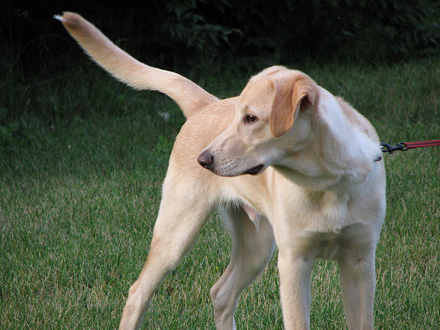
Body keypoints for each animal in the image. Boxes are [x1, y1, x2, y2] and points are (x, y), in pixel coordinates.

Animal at [56, 11, 386, 328]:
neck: (327, 184)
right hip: (177, 233)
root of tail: (204, 105)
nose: (203, 160)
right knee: (139, 292)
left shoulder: (360, 261)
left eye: (251, 118)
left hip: (256, 245)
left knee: (221, 293)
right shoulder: (293, 261)